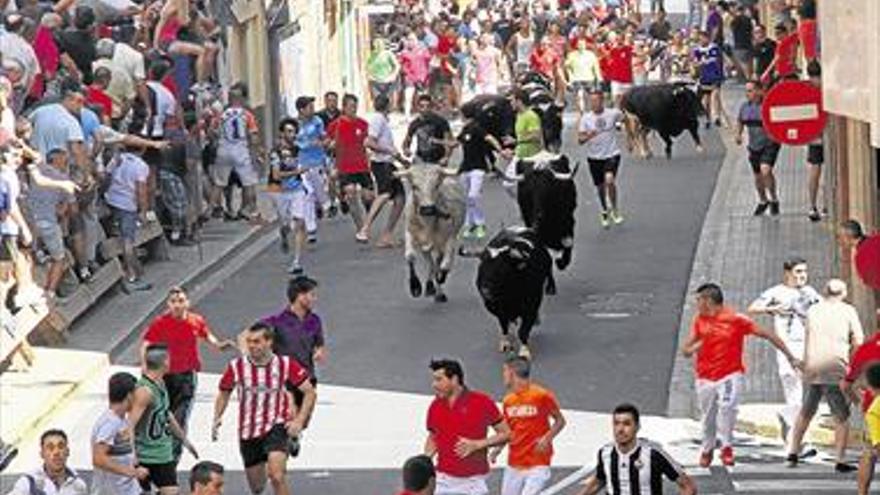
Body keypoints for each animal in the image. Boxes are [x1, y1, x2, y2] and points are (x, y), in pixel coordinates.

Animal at [396, 164, 468, 302]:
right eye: (414, 186)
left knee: (438, 263)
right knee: (431, 264)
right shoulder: (410, 234)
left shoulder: (450, 239)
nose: (427, 208)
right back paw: (430, 286)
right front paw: (415, 286)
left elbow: (444, 267)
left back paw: (438, 290)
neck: (427, 223)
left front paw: (440, 281)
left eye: (436, 185)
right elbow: (410, 257)